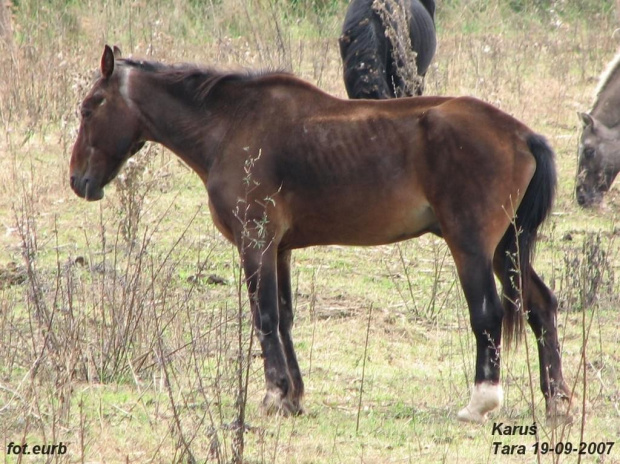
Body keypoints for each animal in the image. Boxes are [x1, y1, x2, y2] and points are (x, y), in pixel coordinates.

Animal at [69, 46, 572, 424]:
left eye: (90, 108)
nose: (78, 181)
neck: (231, 126)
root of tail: (521, 134)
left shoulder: (256, 244)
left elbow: (265, 316)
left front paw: (274, 395)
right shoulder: (280, 250)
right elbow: (285, 318)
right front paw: (292, 396)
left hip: (471, 246)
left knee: (487, 314)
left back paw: (480, 402)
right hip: (506, 249)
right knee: (541, 306)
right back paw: (557, 402)